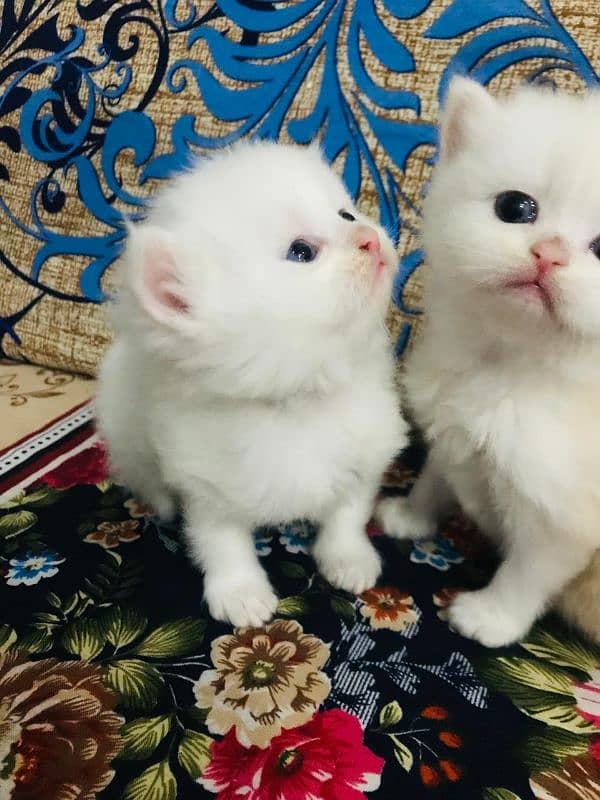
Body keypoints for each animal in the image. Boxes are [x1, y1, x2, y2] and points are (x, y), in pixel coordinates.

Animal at [98, 141, 406, 628]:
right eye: (301, 252)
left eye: (346, 214)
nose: (370, 238)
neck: (300, 400)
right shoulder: (206, 480)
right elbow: (220, 540)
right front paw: (240, 591)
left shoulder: (366, 452)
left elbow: (349, 512)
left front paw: (349, 558)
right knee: (145, 478)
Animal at [378, 78, 600, 648]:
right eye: (516, 207)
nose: (549, 253)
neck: (510, 366)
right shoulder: (451, 429)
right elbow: (435, 477)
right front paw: (410, 517)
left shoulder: (564, 518)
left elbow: (528, 572)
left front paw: (490, 618)